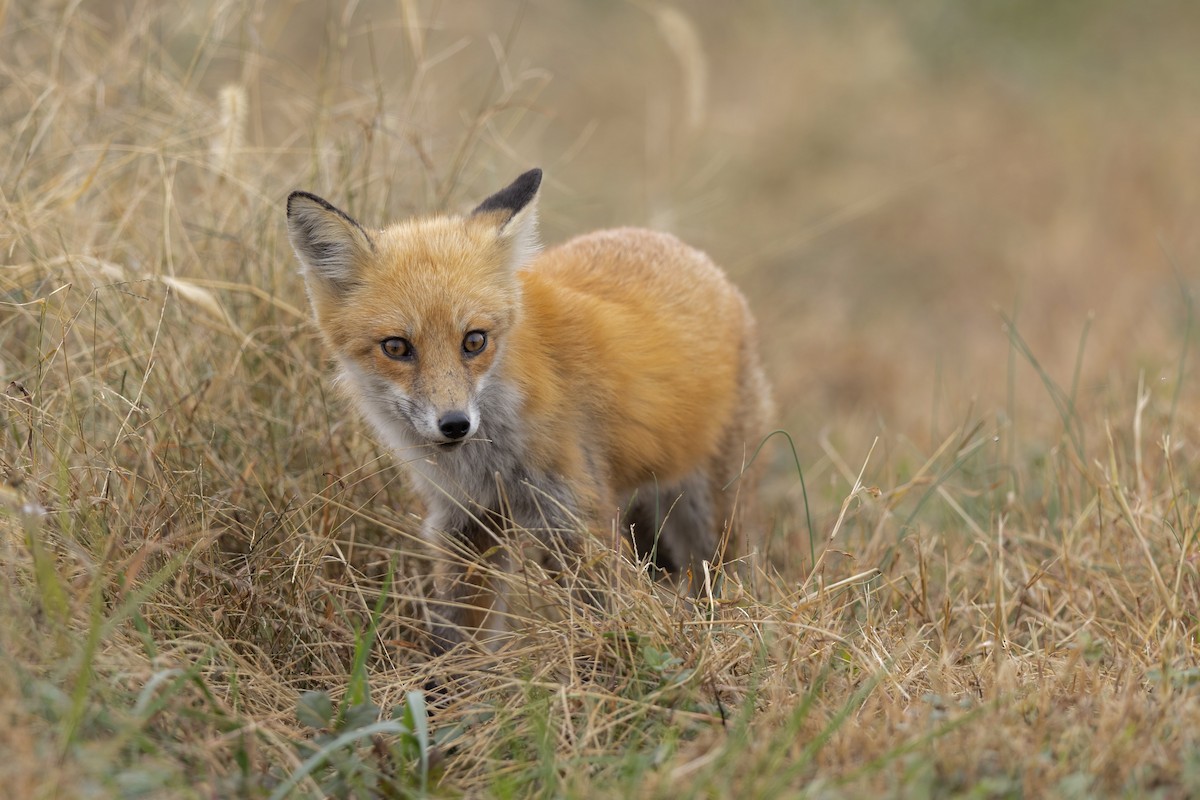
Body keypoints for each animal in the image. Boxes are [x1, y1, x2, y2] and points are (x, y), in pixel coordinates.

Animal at [286, 169, 773, 652]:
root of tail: (680, 248)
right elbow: (461, 638)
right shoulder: (466, 523)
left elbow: (617, 618)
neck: (490, 459)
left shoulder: (578, 516)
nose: (455, 424)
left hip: (715, 516)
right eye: (396, 347)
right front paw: (457, 678)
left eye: (474, 340)